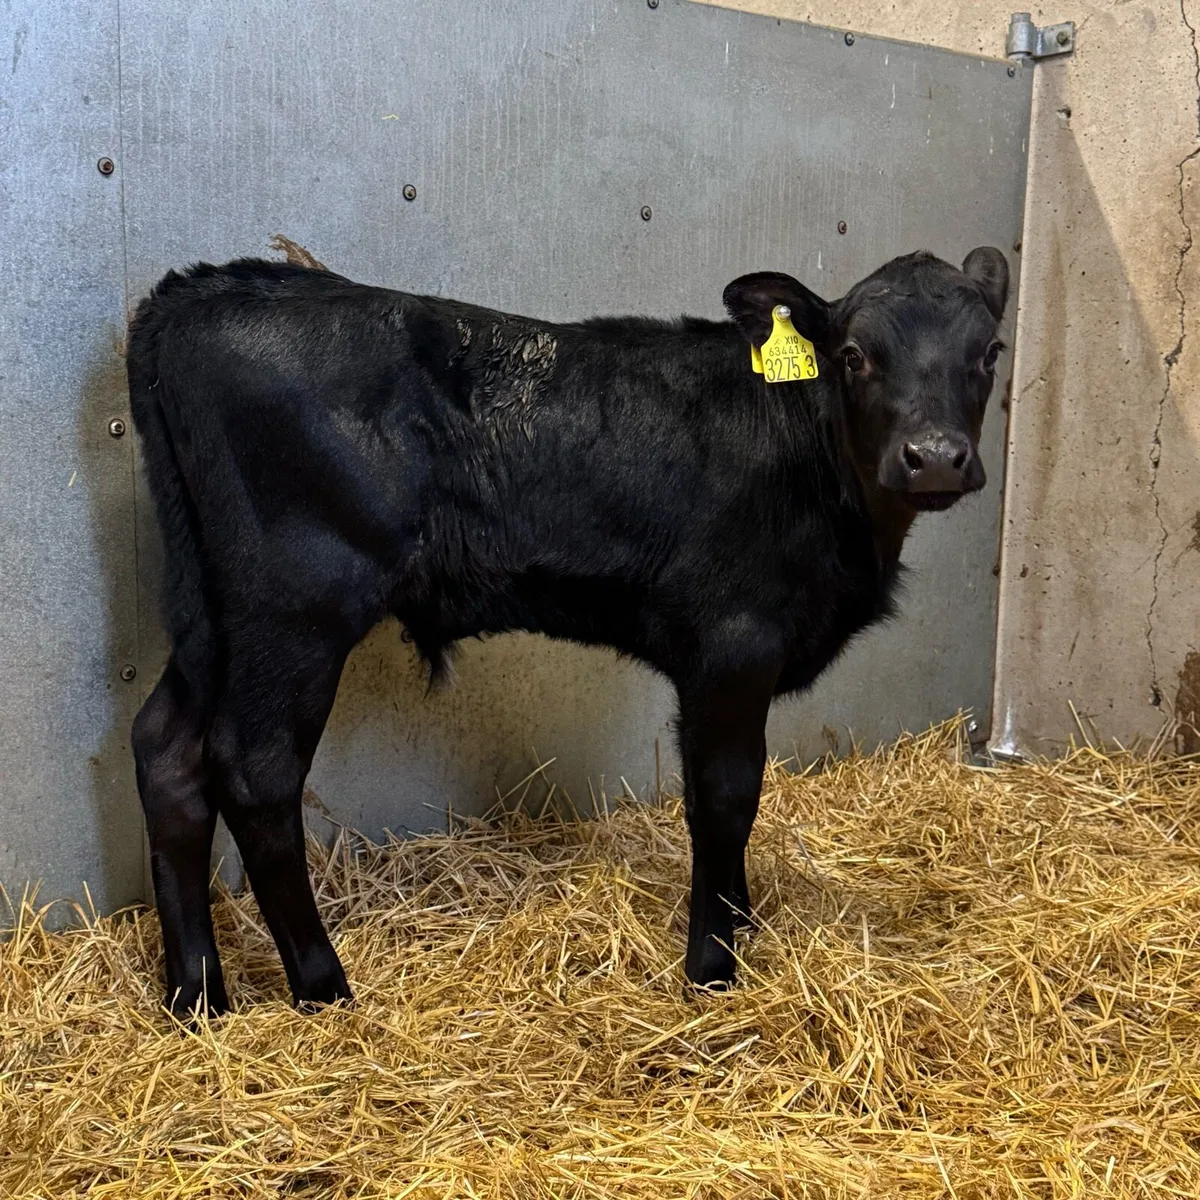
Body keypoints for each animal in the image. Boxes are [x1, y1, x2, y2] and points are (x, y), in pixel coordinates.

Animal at [127, 247, 1009, 1016]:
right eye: (855, 354)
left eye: (990, 352)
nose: (934, 456)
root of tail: (208, 288)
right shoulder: (731, 645)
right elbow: (725, 795)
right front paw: (713, 963)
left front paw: (741, 922)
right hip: (297, 607)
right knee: (256, 770)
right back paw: (322, 987)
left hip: (210, 613)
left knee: (167, 748)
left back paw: (197, 996)